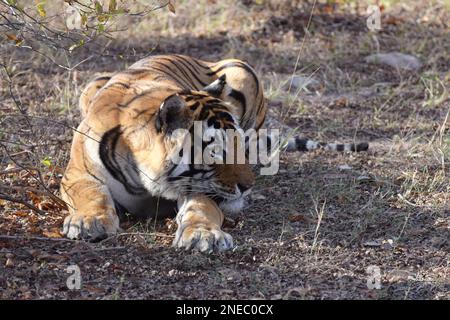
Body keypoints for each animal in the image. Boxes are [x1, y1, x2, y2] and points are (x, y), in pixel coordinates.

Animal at [60, 53, 370, 251]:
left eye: (239, 145)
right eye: (217, 152)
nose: (248, 186)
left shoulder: (200, 189)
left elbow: (202, 208)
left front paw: (203, 236)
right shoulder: (76, 174)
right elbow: (90, 193)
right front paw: (89, 222)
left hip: (242, 70)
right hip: (90, 84)